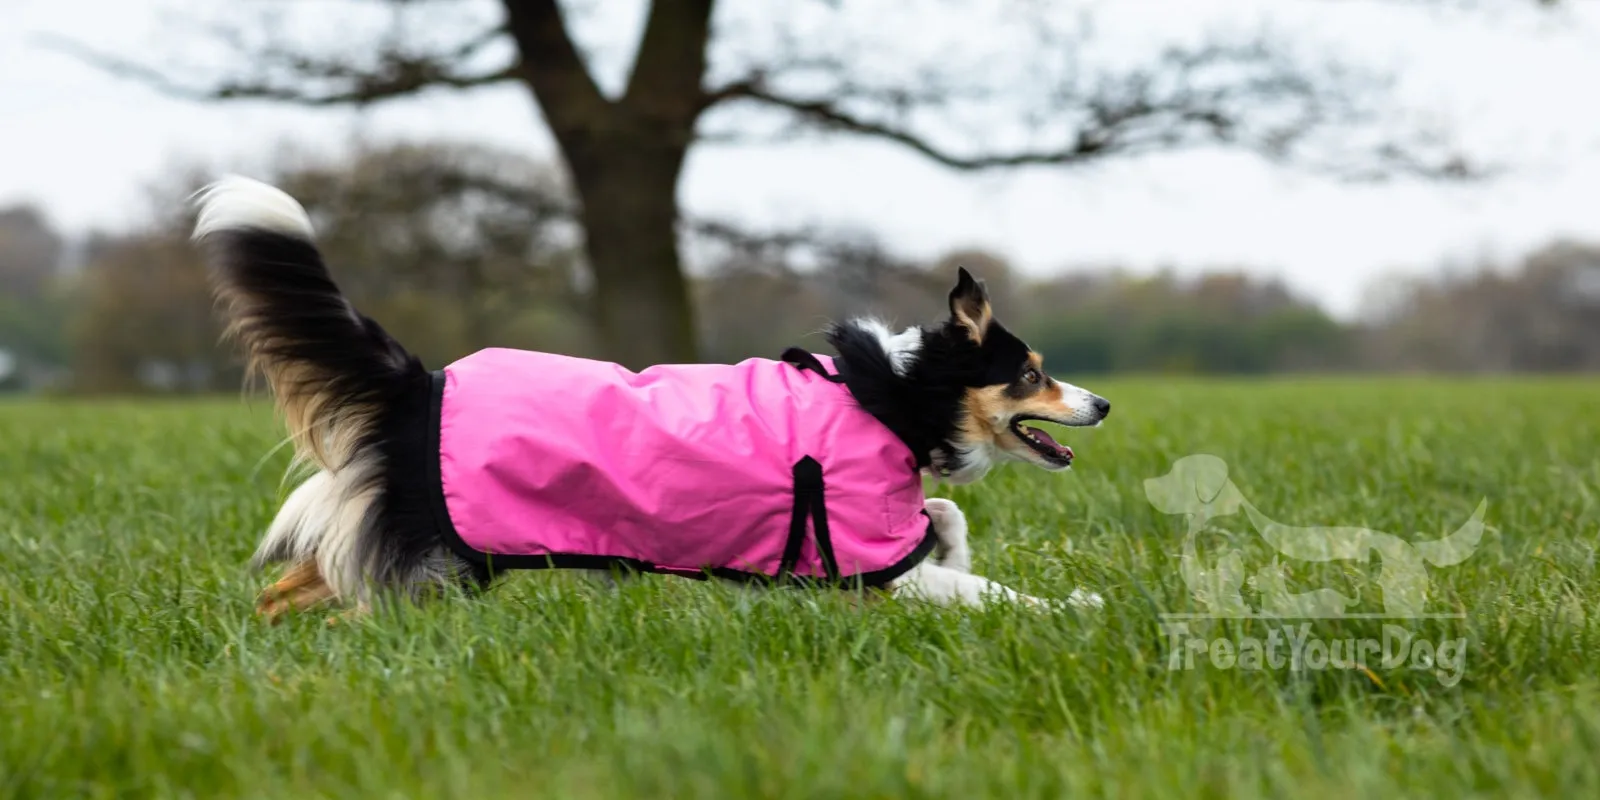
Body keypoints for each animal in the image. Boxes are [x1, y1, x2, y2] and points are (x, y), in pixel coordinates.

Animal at [193, 175, 1107, 617]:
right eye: (1032, 374)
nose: (1100, 405)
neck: (894, 392)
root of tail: (419, 384)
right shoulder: (866, 566)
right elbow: (982, 590)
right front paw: (1073, 604)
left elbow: (945, 522)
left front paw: (962, 543)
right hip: (440, 565)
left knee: (285, 592)